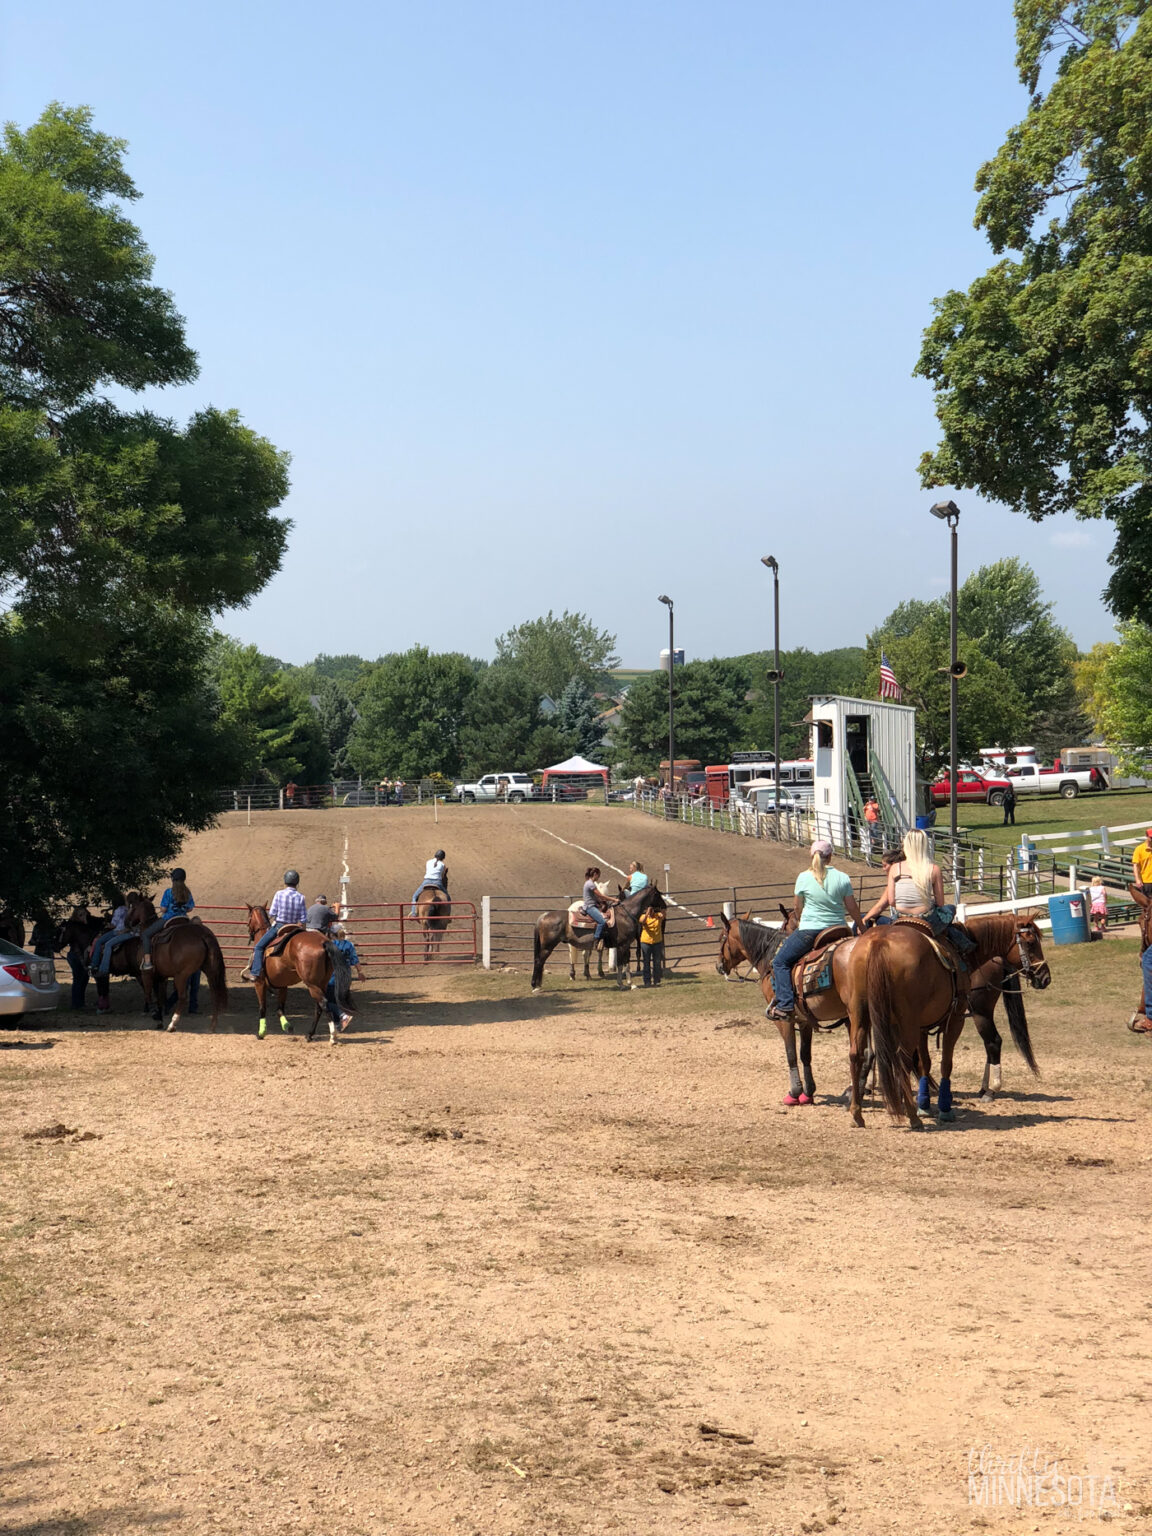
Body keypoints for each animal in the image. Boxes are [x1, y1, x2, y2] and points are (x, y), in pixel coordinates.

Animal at [244, 897, 351, 1044]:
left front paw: (261, 1033)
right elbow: (280, 1009)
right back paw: (310, 1035)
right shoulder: (282, 986)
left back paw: (332, 1036)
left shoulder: (259, 983)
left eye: (249, 918)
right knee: (319, 1007)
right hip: (322, 983)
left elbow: (262, 1007)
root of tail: (322, 942)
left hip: (311, 983)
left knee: (323, 1003)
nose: (249, 932)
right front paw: (287, 1026)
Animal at [528, 884, 663, 989]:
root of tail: (544, 915)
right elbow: (625, 963)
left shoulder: (619, 945)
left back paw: (538, 984)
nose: (665, 905)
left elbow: (620, 964)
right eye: (658, 894)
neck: (625, 914)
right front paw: (631, 984)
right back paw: (535, 986)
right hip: (547, 946)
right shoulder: (624, 945)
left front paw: (621, 984)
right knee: (539, 961)